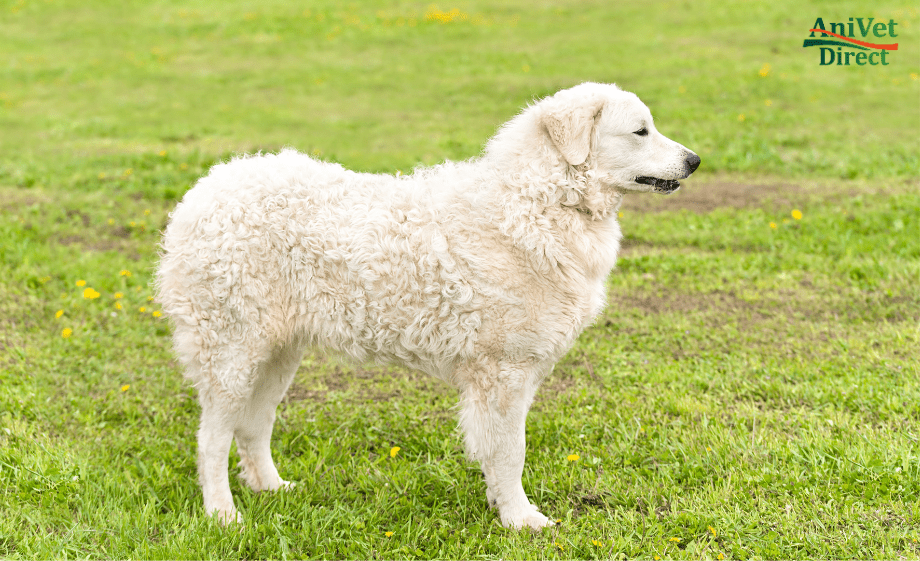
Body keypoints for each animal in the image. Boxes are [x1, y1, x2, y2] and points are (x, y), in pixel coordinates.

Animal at [158, 82, 700, 528]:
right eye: (640, 131)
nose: (695, 160)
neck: (540, 202)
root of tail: (204, 190)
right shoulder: (503, 371)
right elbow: (512, 451)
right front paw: (521, 520)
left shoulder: (519, 372)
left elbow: (500, 450)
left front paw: (502, 506)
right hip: (231, 352)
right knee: (212, 439)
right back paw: (223, 515)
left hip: (277, 353)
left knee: (253, 426)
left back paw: (272, 489)